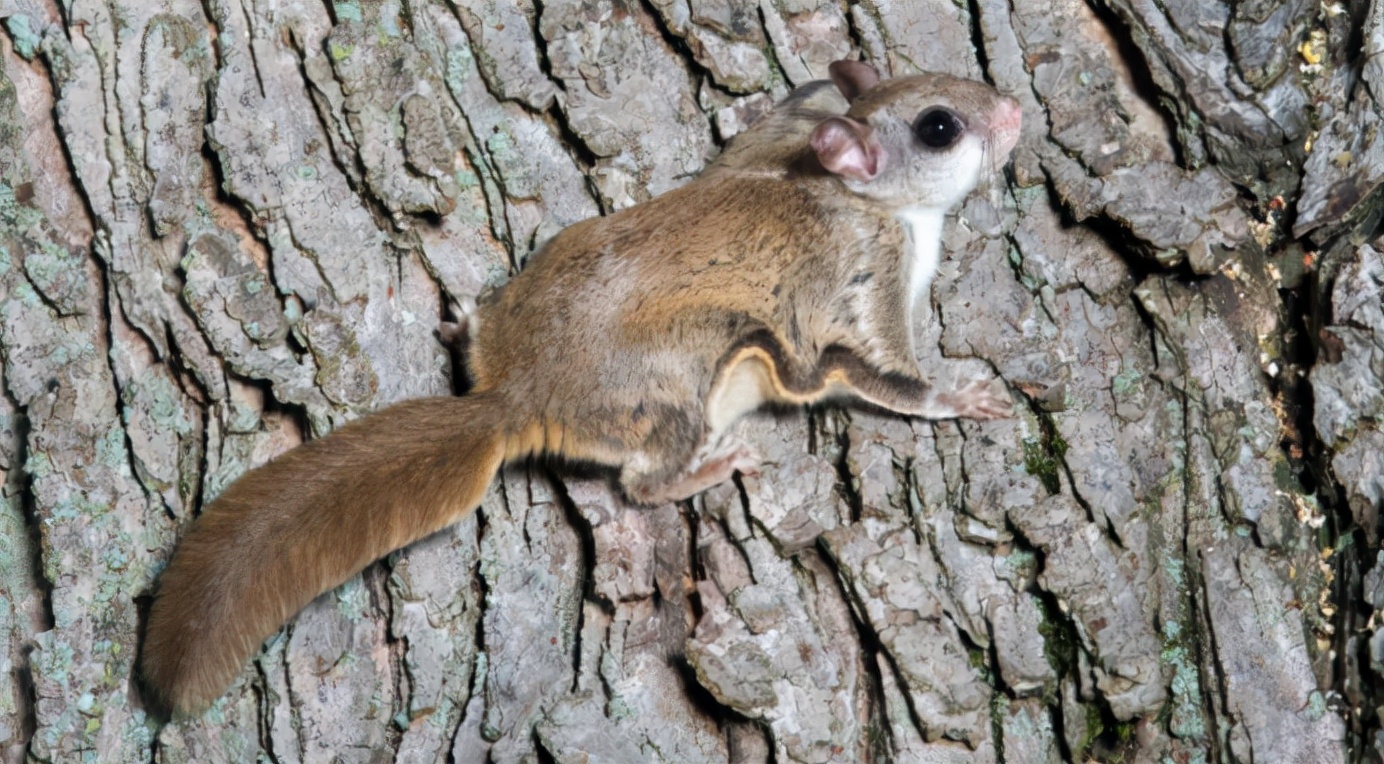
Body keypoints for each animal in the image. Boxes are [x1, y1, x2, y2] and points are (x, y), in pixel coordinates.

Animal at [140, 59, 1029, 714]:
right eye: (940, 127)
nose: (1017, 112)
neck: (856, 195)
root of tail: (520, 397)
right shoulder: (862, 287)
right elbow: (886, 375)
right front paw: (963, 399)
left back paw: (463, 322)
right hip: (681, 383)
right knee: (642, 482)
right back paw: (708, 466)